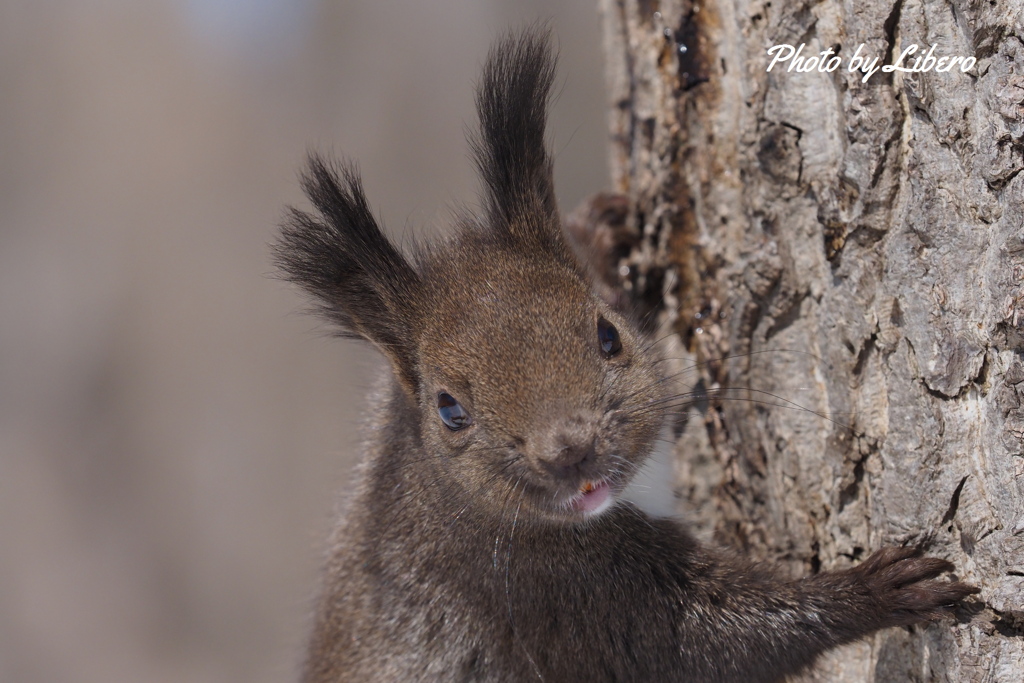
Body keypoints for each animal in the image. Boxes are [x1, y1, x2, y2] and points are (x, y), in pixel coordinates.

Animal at [276, 26, 978, 683]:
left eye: (607, 333)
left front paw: (597, 232)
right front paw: (871, 592)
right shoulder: (555, 597)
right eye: (449, 409)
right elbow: (706, 642)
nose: (570, 450)